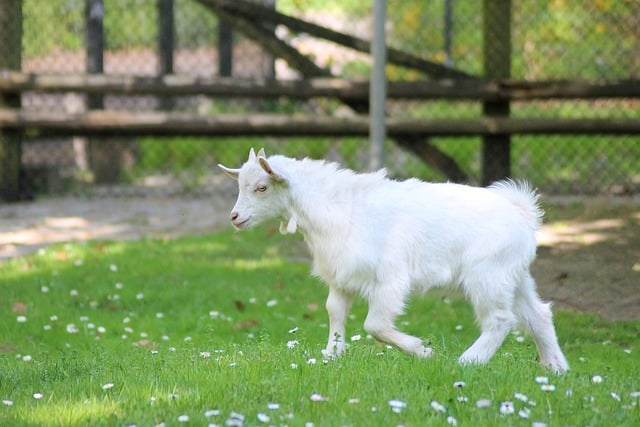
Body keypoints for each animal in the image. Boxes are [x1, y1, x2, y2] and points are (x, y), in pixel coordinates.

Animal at [221, 148, 568, 374]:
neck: (341, 210)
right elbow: (334, 313)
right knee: (538, 314)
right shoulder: (341, 278)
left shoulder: (390, 280)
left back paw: (467, 362)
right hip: (514, 276)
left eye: (262, 187)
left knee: (500, 320)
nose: (234, 217)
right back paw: (555, 367)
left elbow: (374, 325)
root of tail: (522, 212)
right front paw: (332, 355)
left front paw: (422, 351)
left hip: (488, 276)